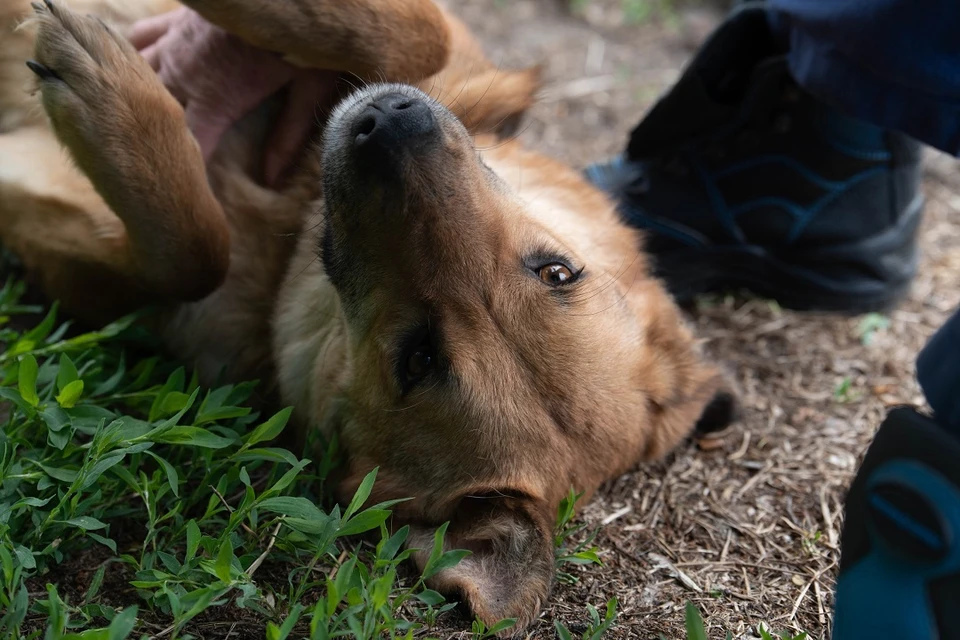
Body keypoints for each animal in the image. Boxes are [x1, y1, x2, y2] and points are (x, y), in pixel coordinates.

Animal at [0, 0, 736, 632]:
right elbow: (415, 33)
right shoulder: (453, 57)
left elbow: (194, 254)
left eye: (419, 358)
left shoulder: (91, 276)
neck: (286, 230)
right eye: (557, 272)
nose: (387, 125)